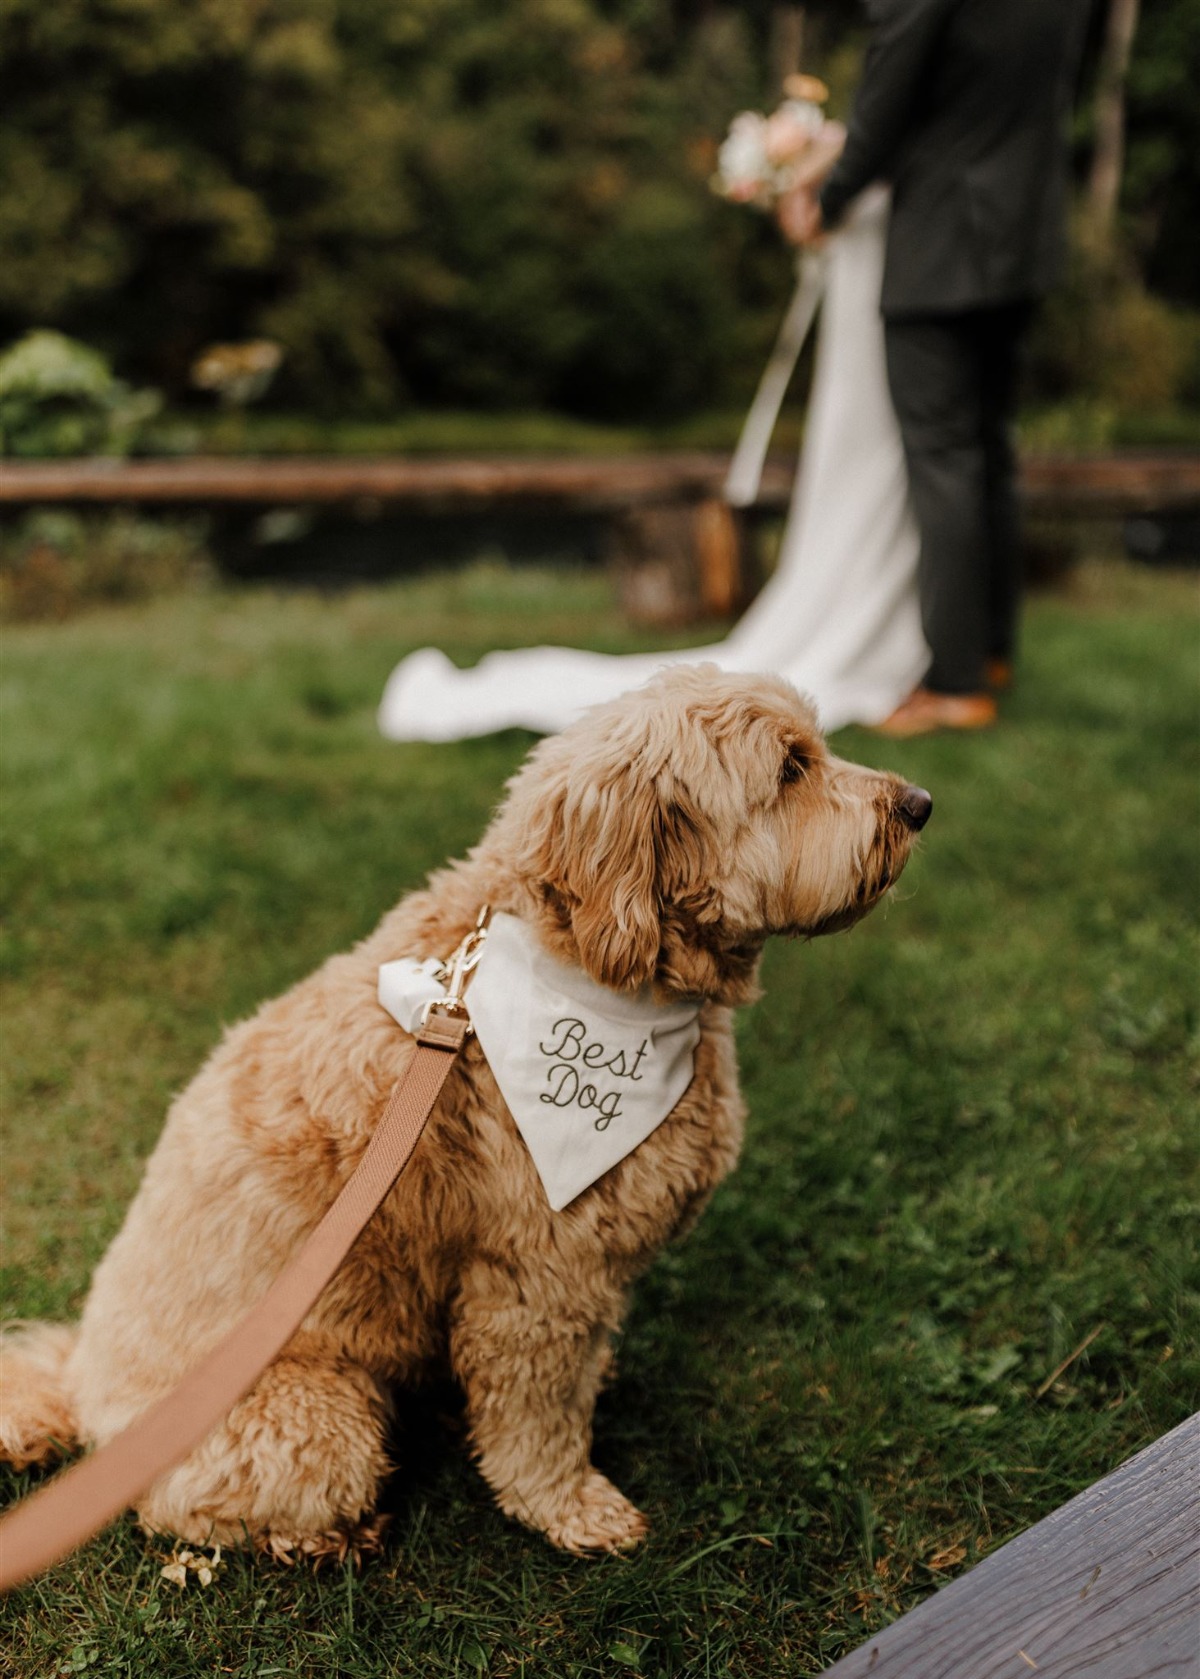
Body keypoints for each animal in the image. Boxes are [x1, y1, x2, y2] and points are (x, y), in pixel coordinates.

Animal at [0, 664, 933, 1558]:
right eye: (789, 769)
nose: (921, 804)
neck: (586, 964)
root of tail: (82, 1383)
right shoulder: (537, 1274)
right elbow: (536, 1416)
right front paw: (570, 1506)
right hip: (316, 1418)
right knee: (180, 1504)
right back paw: (324, 1538)